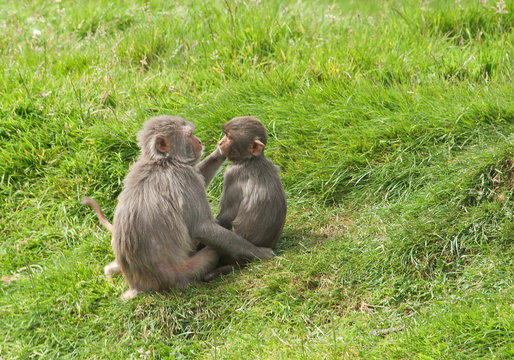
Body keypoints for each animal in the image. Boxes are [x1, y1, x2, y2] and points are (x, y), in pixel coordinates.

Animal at [82, 114, 272, 298]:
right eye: (189, 135)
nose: (200, 142)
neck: (161, 162)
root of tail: (139, 286)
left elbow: (200, 175)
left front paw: (221, 151)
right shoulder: (183, 177)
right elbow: (201, 227)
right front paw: (259, 253)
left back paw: (110, 270)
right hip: (183, 272)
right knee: (211, 250)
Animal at [204, 116, 286, 280]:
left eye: (229, 137)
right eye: (225, 134)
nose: (220, 143)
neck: (251, 160)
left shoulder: (232, 174)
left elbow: (226, 216)